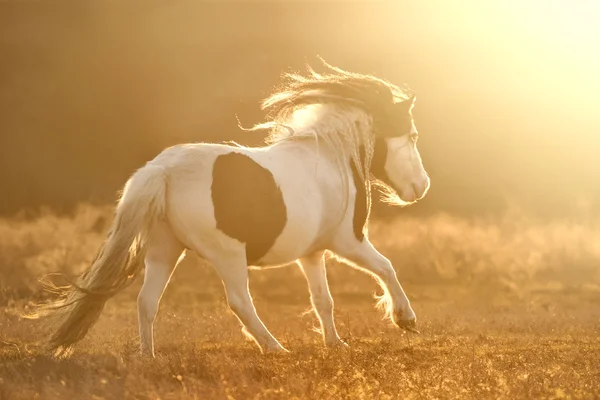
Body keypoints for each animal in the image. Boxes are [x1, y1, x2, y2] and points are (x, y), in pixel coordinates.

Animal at [29, 59, 432, 356]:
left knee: (146, 301)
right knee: (240, 302)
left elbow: (323, 300)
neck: (330, 158)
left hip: (165, 250)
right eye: (412, 135)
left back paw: (149, 357)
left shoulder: (312, 253)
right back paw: (275, 348)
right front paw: (406, 319)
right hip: (228, 255)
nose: (421, 187)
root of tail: (163, 169)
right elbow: (386, 268)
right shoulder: (347, 241)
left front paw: (336, 343)